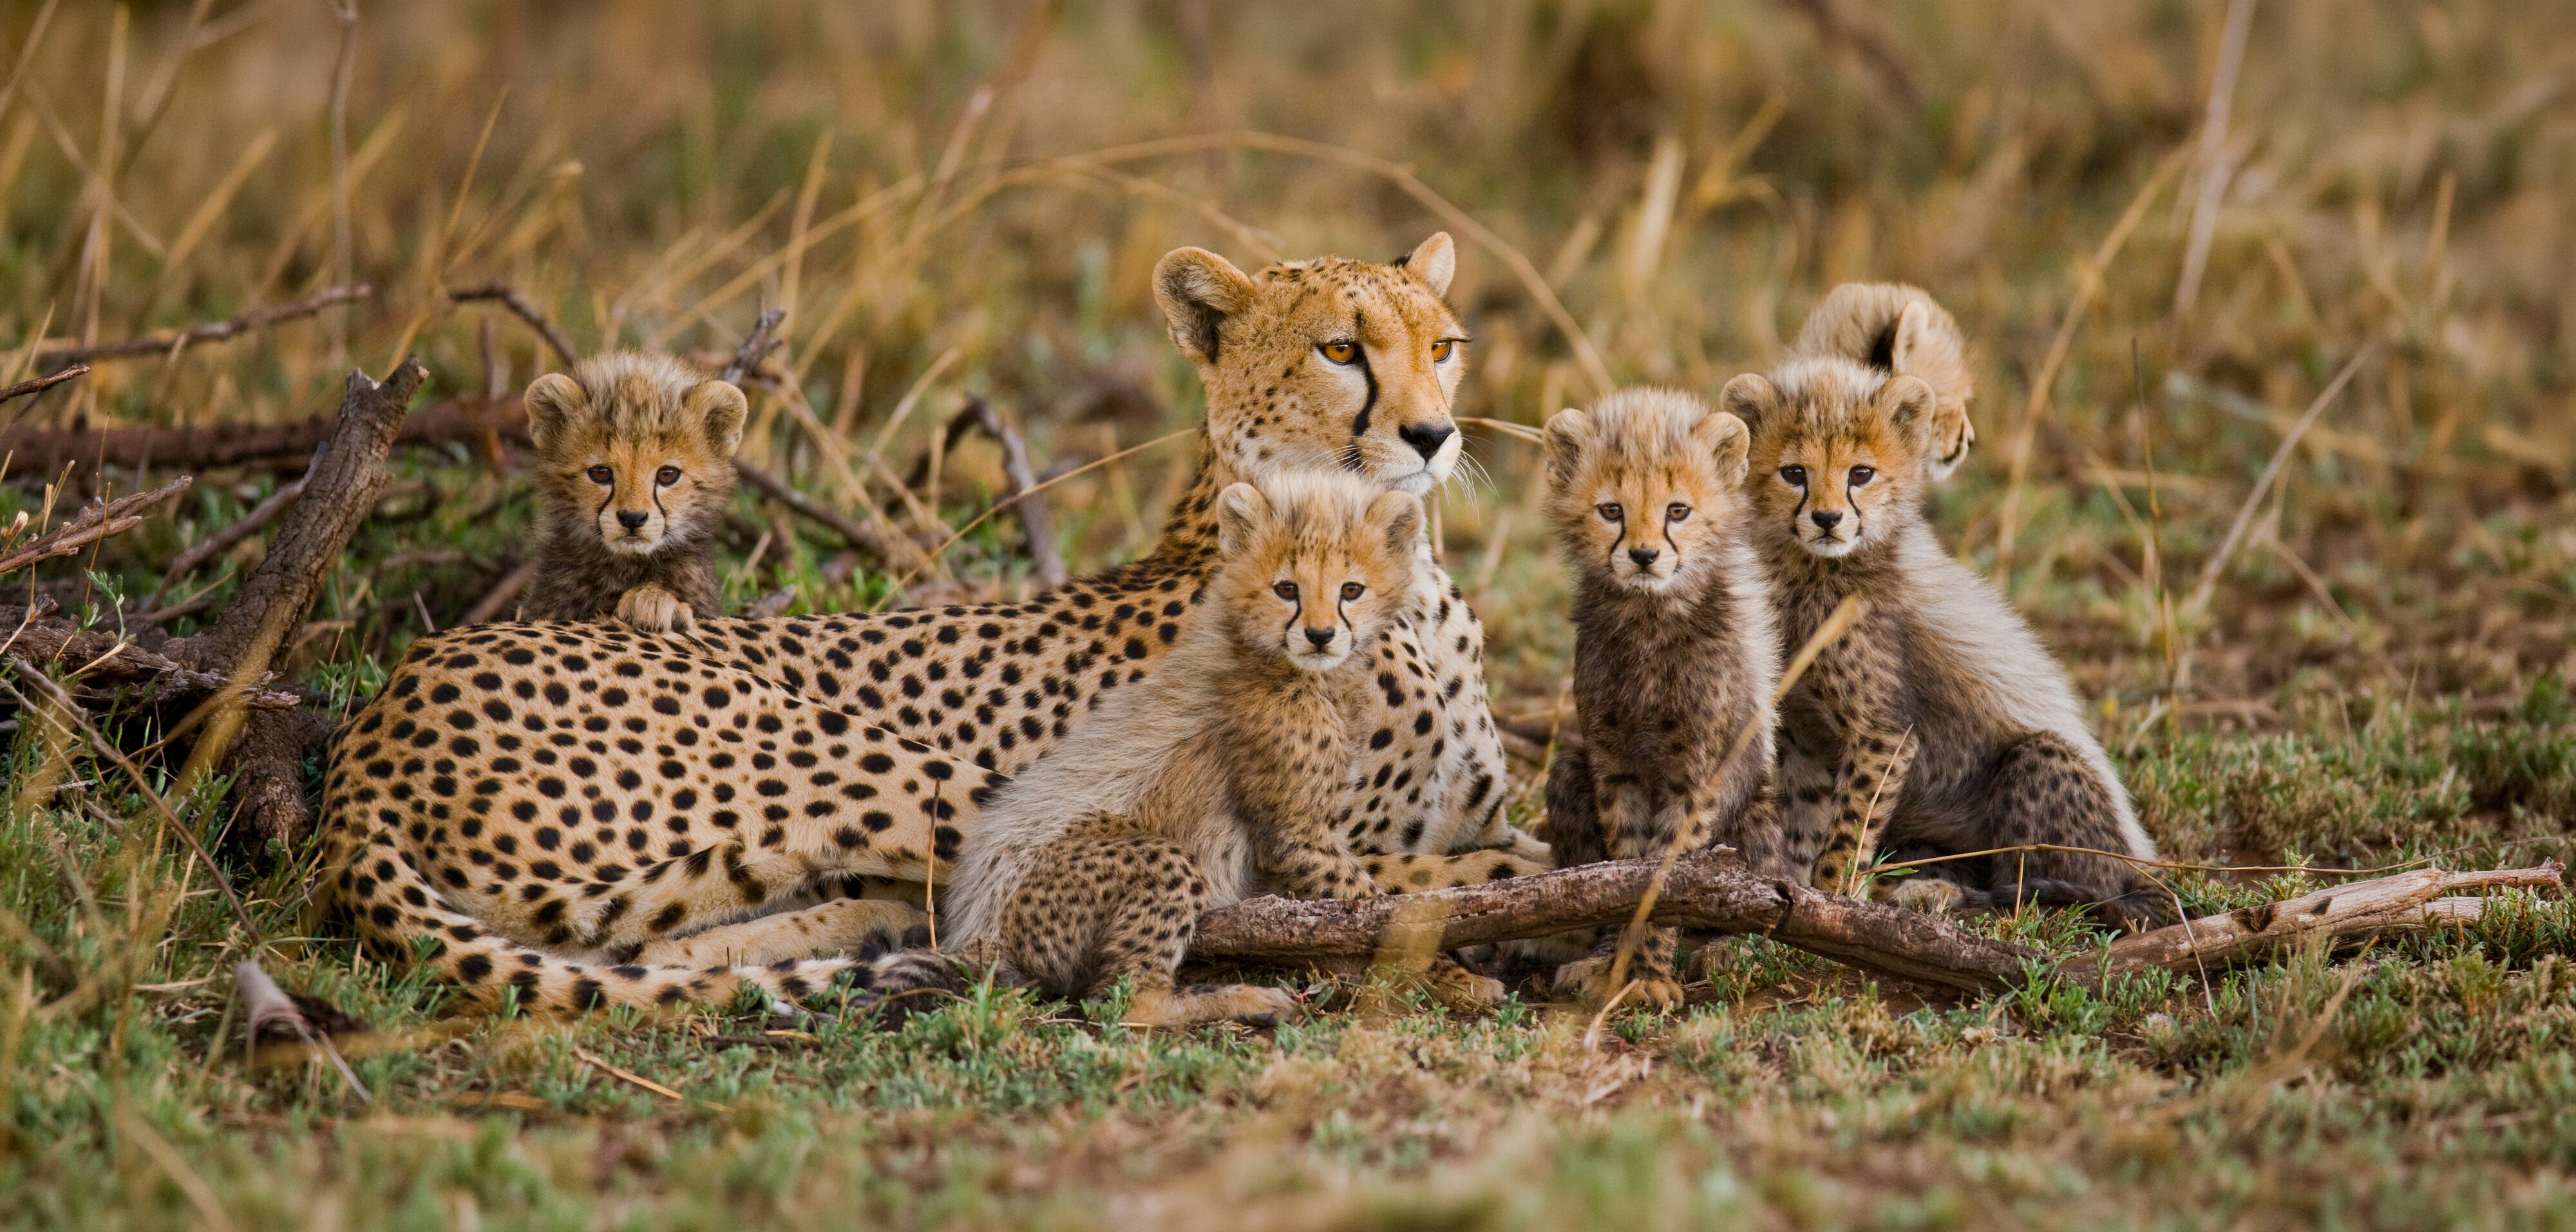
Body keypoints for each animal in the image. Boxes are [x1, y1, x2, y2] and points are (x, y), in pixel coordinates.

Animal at [863, 473, 1509, 1028]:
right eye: (1287, 589)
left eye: (1352, 589)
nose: (1321, 635)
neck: (1278, 662)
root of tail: (981, 930)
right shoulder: (1298, 835)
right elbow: (1373, 909)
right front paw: (1455, 978)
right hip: (1154, 861)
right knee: (1125, 1000)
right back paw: (1243, 999)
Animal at [1533, 388, 1784, 1009]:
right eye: (1611, 510)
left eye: (1678, 511)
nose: (1645, 556)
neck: (1650, 619)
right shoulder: (1613, 762)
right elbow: (1622, 870)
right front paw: (1618, 964)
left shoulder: (1697, 775)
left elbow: (1668, 878)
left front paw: (1647, 973)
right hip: (1569, 770)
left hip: (1755, 812)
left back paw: (1729, 948)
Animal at [1720, 343, 2177, 931]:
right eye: (1793, 472)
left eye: (1861, 473)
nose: (1827, 518)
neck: (1813, 570)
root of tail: (2144, 868)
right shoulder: (1806, 734)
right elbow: (1807, 822)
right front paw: (1794, 896)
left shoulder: (1885, 734)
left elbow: (1848, 832)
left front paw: (1833, 900)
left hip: (2043, 771)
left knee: (2049, 893)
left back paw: (1946, 895)